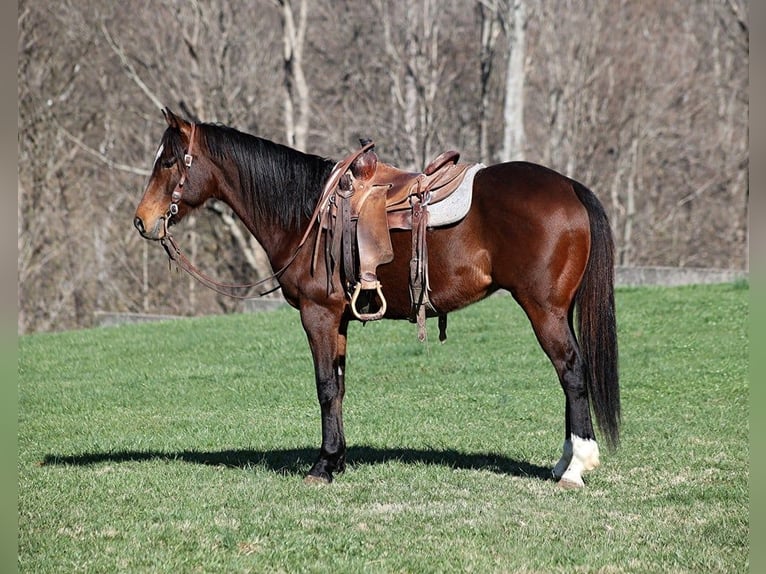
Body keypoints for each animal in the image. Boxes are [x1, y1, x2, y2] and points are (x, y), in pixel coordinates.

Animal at [133, 108, 619, 489]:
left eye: (169, 162)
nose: (142, 221)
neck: (307, 214)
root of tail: (570, 187)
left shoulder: (317, 315)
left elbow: (325, 387)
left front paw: (322, 467)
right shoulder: (338, 320)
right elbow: (340, 385)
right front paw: (337, 459)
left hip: (544, 310)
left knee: (571, 371)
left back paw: (576, 466)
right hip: (559, 311)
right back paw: (562, 461)